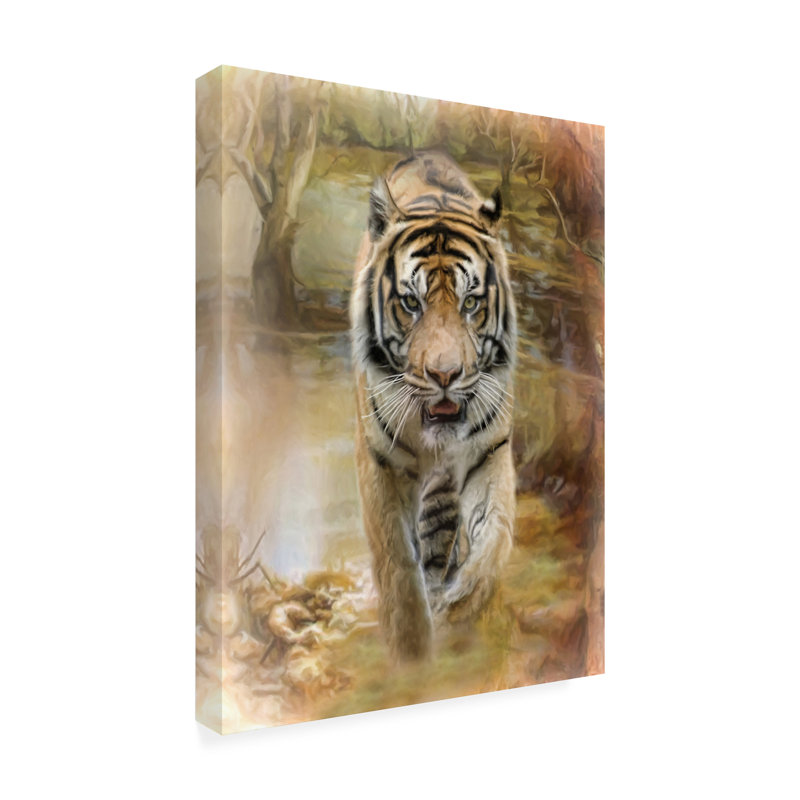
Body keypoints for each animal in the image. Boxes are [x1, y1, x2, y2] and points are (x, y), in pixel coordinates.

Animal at [350, 151, 517, 661]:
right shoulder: (380, 462)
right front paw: (411, 654)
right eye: (410, 302)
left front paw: (463, 609)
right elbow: (396, 565)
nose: (445, 375)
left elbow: (495, 536)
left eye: (470, 303)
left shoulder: (490, 450)